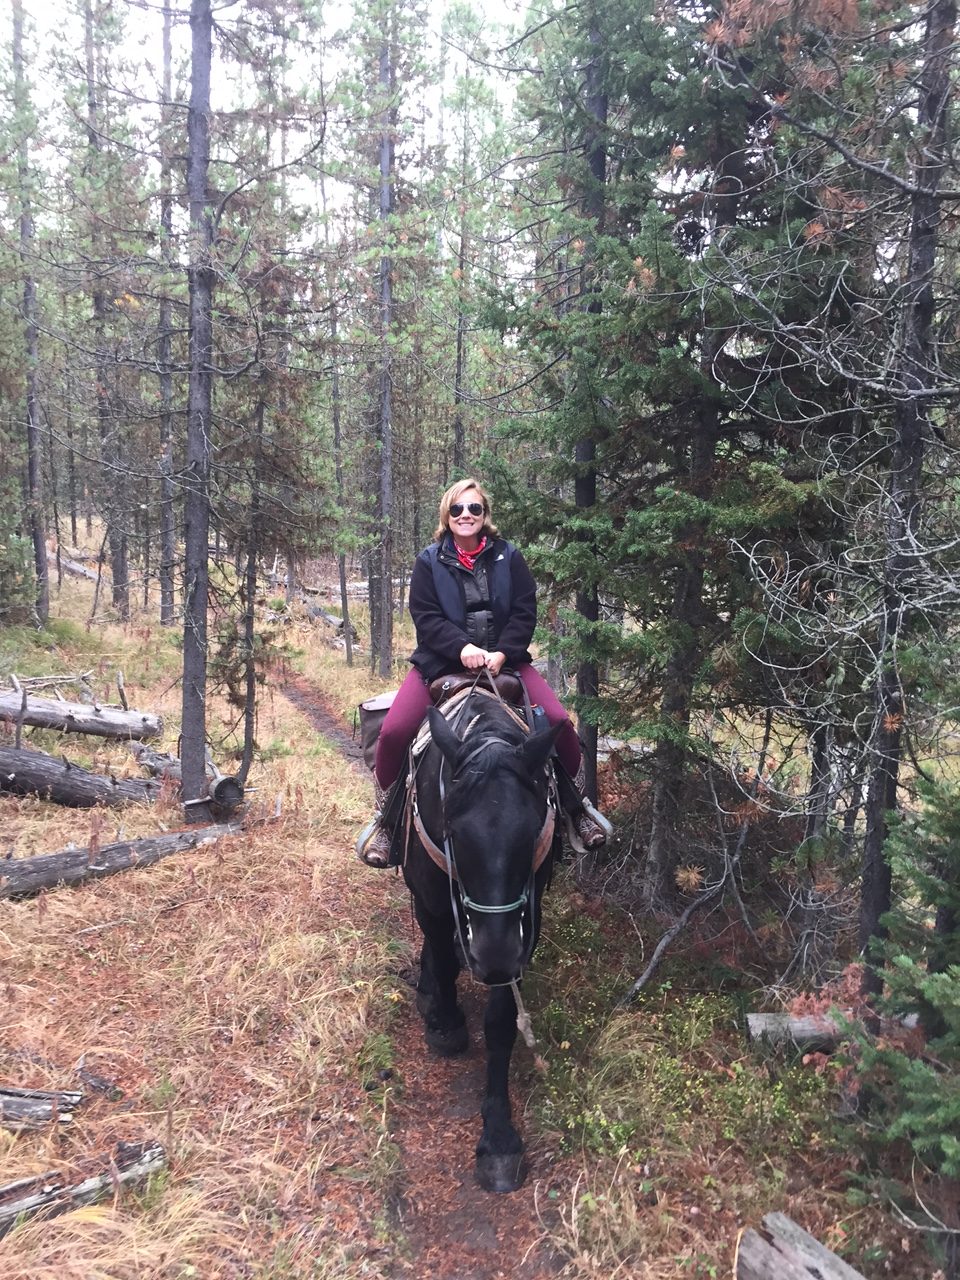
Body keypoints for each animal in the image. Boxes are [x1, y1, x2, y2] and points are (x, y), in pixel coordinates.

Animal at [402, 691, 560, 1193]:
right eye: (453, 830)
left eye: (532, 831)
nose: (492, 961)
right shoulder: (433, 898)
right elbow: (441, 955)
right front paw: (446, 1021)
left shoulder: (524, 926)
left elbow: (500, 1022)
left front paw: (498, 1139)